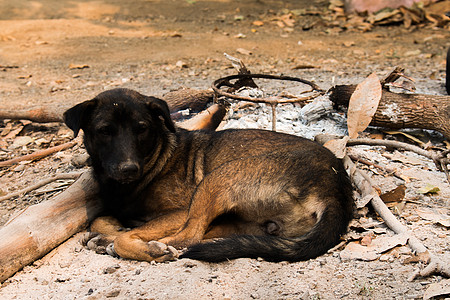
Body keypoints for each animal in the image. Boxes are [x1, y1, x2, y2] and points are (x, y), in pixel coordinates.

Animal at [63, 88, 354, 262]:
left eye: (142, 129)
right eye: (105, 130)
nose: (128, 168)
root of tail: (336, 189)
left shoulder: (179, 211)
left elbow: (127, 234)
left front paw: (135, 242)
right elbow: (99, 220)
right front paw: (111, 231)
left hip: (217, 178)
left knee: (189, 237)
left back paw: (148, 246)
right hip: (239, 221)